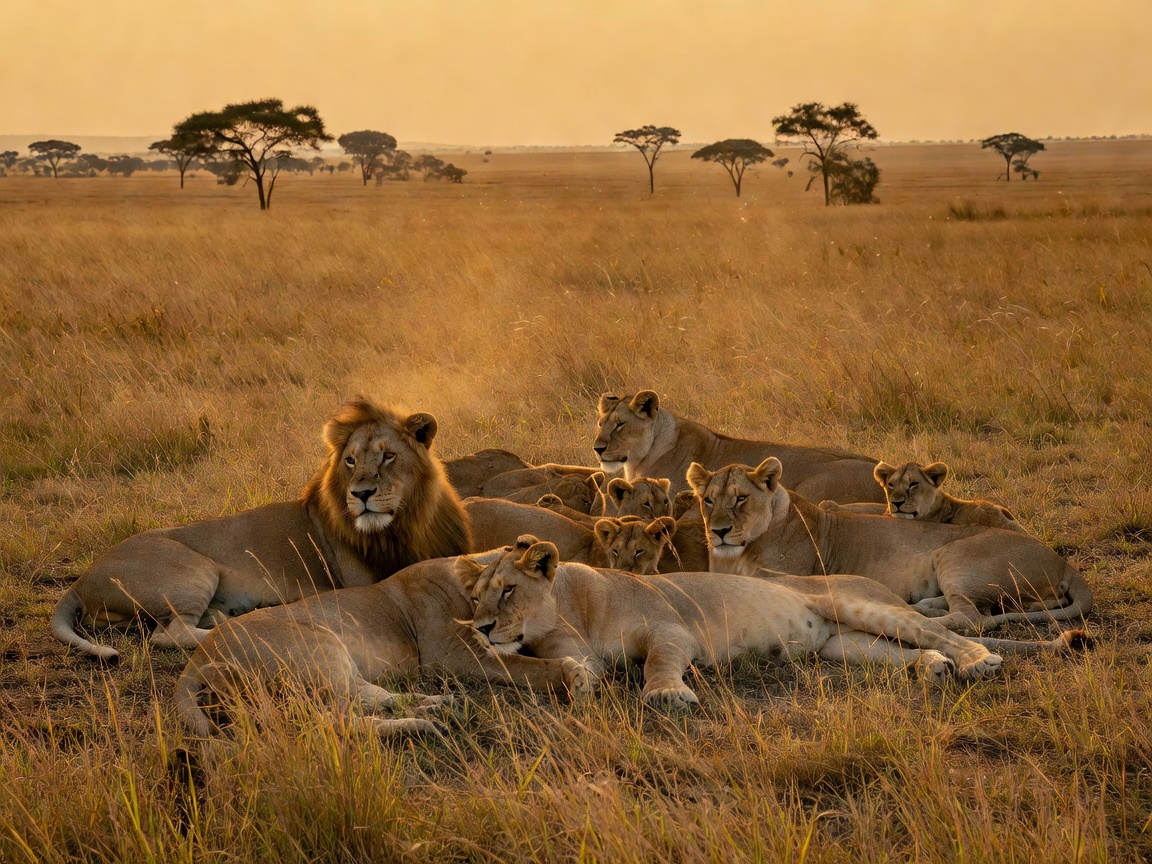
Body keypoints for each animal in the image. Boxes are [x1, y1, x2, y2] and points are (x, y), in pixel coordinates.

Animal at [52, 398, 472, 660]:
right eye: (350, 461)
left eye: (388, 456)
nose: (361, 494)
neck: (406, 523)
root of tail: (83, 577)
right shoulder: (362, 586)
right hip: (193, 570)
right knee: (169, 634)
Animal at [173, 552, 592, 738]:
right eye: (481, 597)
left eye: (508, 591)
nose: (486, 627)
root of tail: (199, 657)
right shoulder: (451, 658)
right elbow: (528, 668)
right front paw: (574, 674)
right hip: (321, 646)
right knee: (336, 719)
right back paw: (423, 725)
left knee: (369, 697)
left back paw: (438, 706)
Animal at [458, 538, 1087, 708]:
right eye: (475, 598)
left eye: (508, 590)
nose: (482, 630)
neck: (569, 611)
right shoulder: (576, 651)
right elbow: (576, 668)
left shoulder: (671, 629)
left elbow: (659, 661)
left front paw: (665, 694)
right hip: (846, 645)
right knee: (912, 651)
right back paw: (932, 671)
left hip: (861, 606)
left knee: (947, 632)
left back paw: (978, 662)